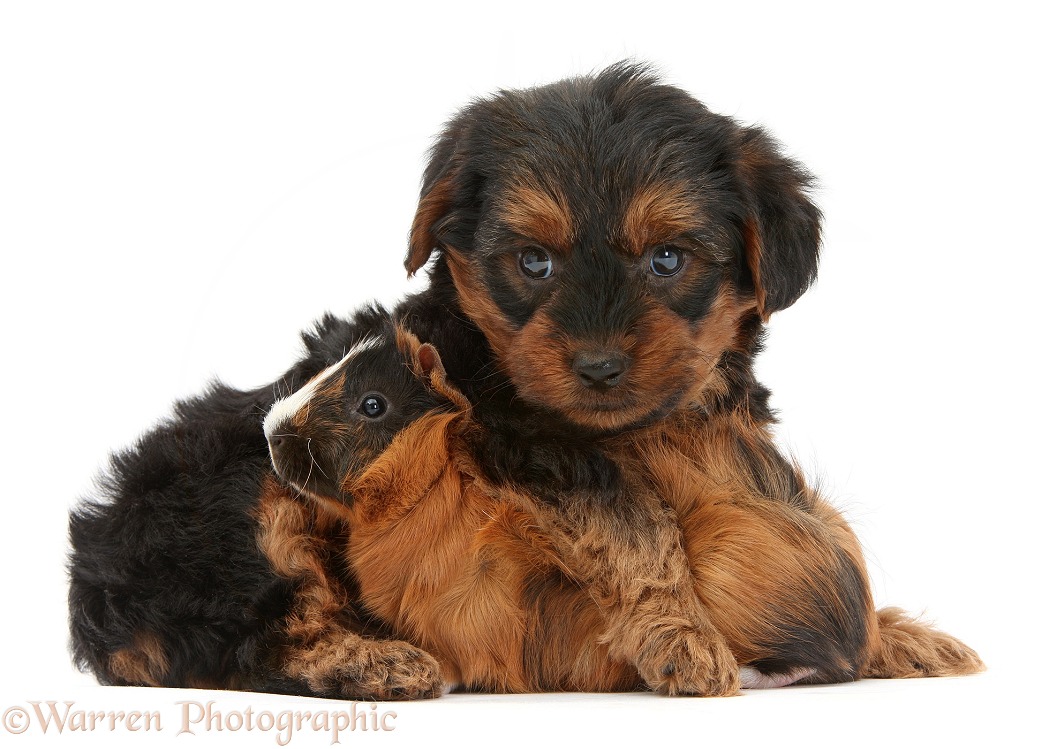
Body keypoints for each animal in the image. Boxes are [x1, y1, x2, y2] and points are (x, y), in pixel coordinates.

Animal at [394, 61, 981, 692]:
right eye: (534, 261)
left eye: (667, 259)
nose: (599, 366)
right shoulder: (524, 440)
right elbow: (633, 526)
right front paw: (681, 634)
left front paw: (898, 637)